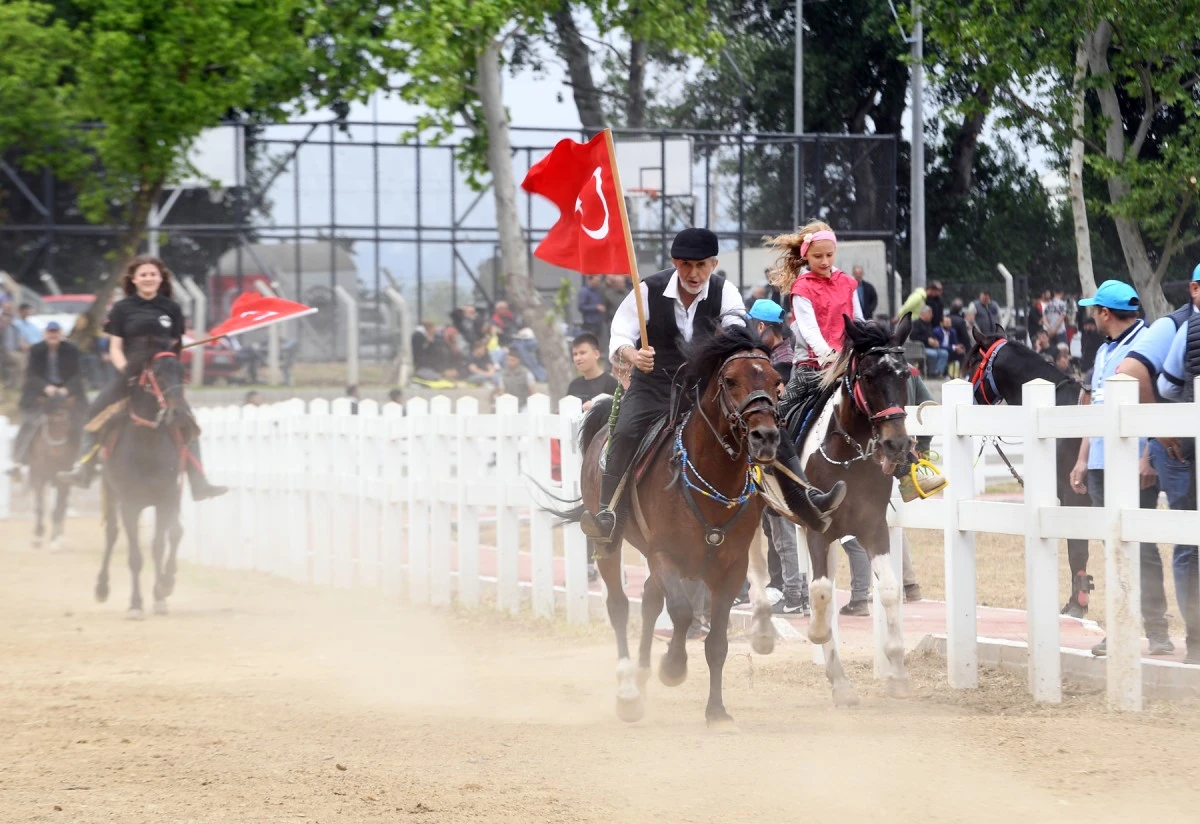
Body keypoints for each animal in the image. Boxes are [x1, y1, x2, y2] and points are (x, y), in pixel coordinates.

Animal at [26, 395, 78, 551]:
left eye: (67, 422)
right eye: (49, 421)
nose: (57, 452)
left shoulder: (62, 481)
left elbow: (58, 509)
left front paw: (54, 541)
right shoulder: (38, 477)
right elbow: (39, 506)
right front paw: (37, 536)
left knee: (62, 506)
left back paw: (59, 536)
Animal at [96, 335, 189, 618]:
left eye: (182, 370)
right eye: (157, 373)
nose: (179, 413)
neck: (146, 447)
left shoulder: (166, 498)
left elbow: (159, 545)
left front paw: (160, 594)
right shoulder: (130, 503)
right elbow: (136, 556)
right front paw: (136, 604)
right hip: (111, 493)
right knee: (112, 535)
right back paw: (101, 587)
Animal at [556, 326, 782, 729]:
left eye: (776, 381)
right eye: (729, 380)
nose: (765, 437)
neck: (714, 477)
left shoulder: (732, 566)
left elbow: (717, 642)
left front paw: (716, 710)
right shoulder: (664, 553)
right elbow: (681, 612)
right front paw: (673, 667)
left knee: (648, 599)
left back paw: (643, 676)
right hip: (609, 543)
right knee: (620, 606)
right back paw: (629, 690)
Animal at [787, 319, 916, 705]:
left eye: (904, 374)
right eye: (869, 376)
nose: (896, 444)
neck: (848, 455)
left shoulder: (872, 527)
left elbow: (888, 590)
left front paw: (897, 673)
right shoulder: (816, 528)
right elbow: (821, 592)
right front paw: (816, 633)